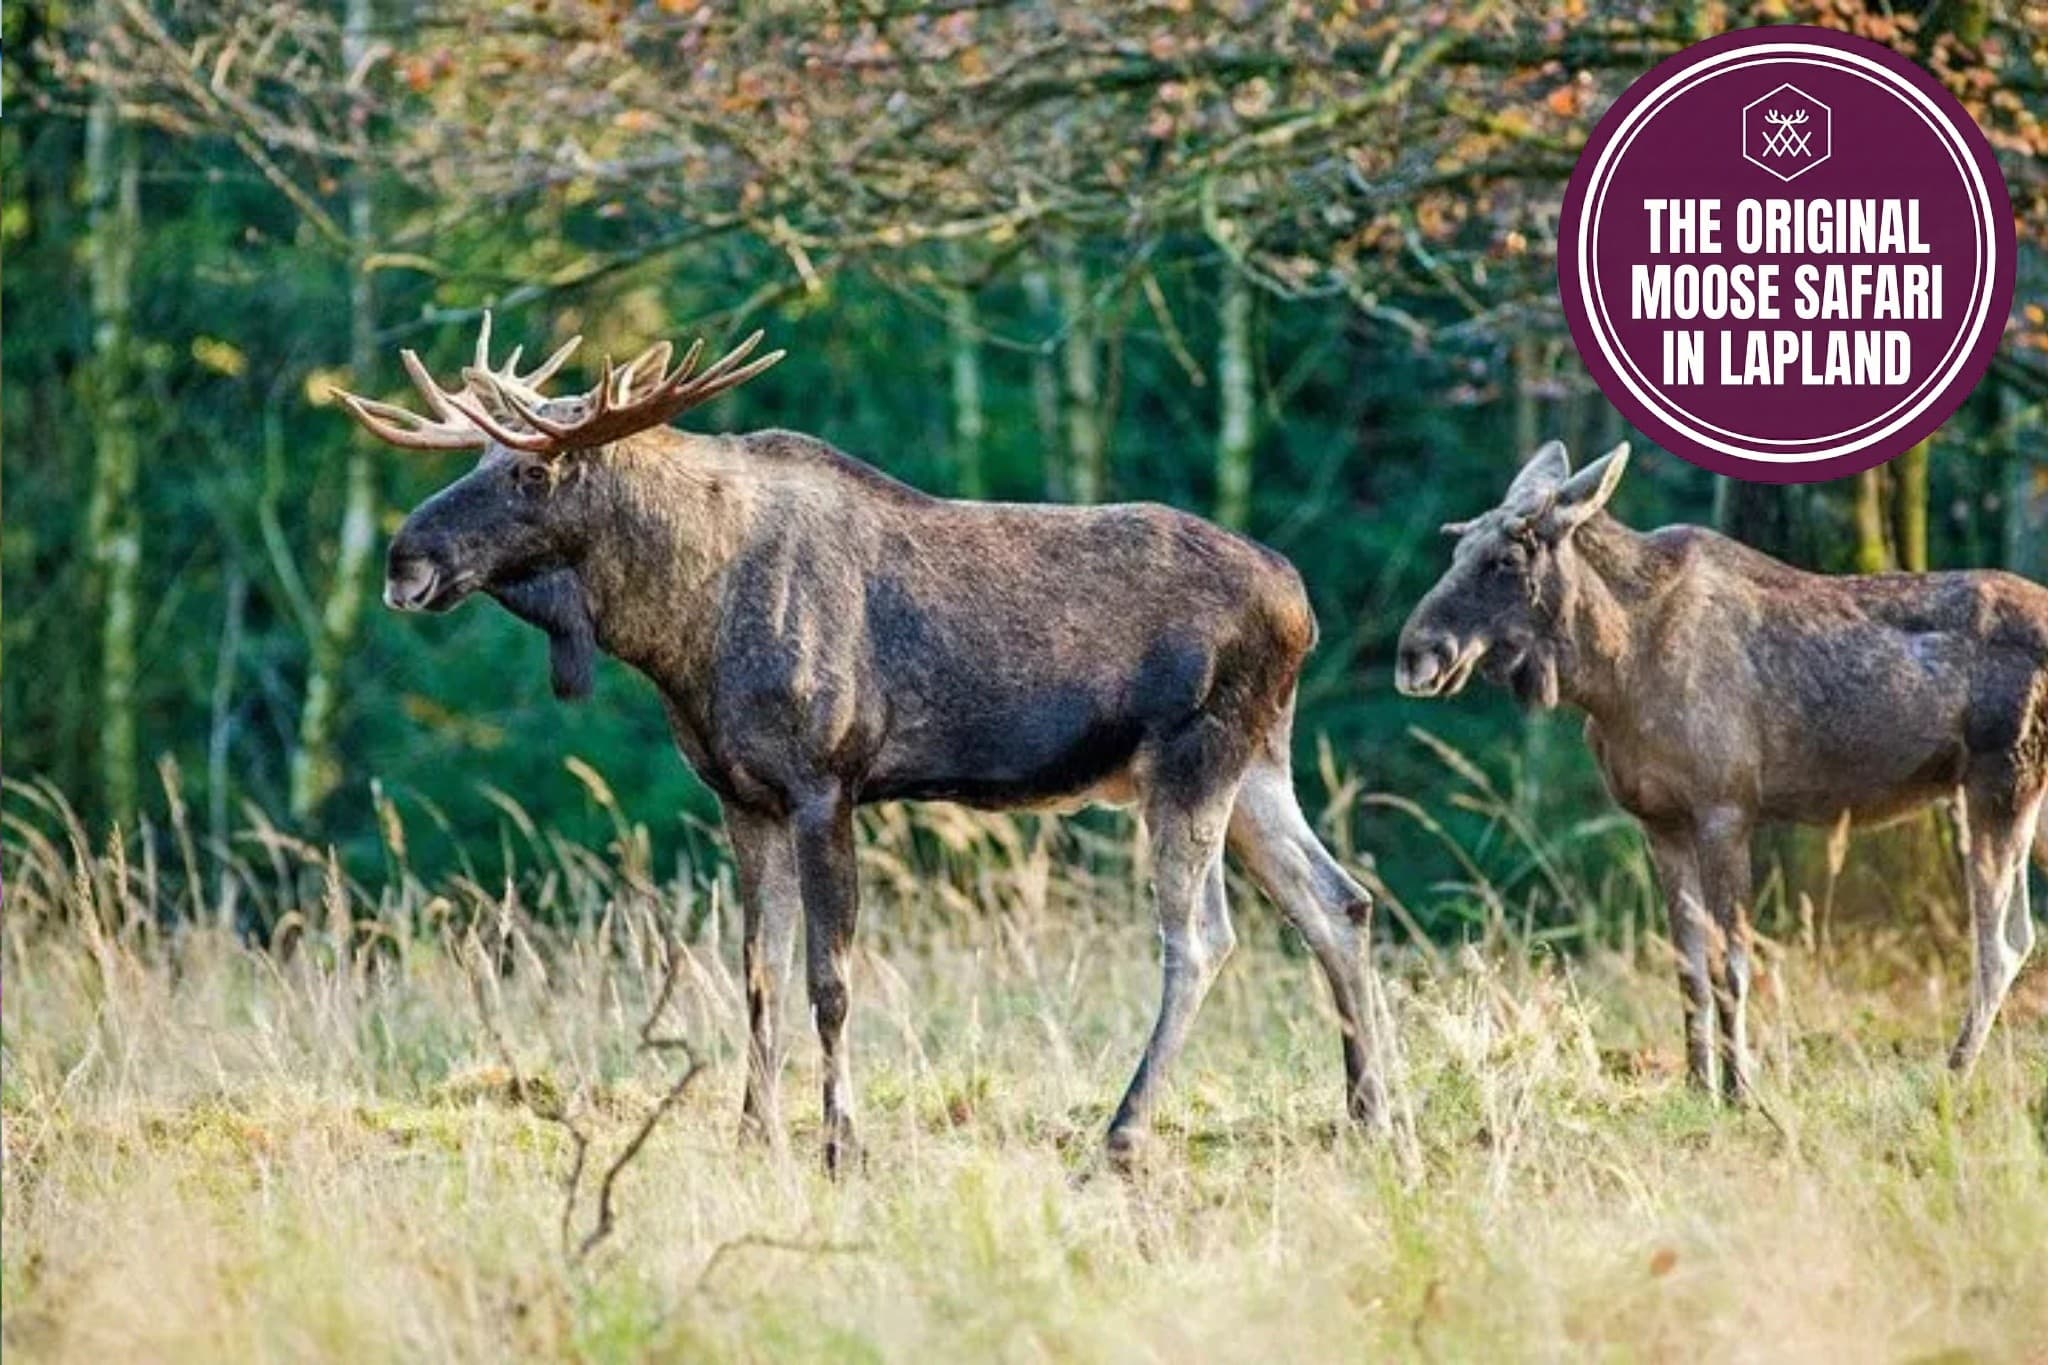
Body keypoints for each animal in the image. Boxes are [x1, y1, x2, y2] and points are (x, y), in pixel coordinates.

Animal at [334, 314, 1393, 1171]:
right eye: (471, 457)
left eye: (532, 468)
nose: (403, 559)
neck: (680, 632)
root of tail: (1302, 605)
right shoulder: (740, 794)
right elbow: (755, 973)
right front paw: (753, 1133)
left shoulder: (823, 781)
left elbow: (827, 979)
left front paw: (842, 1143)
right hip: (1256, 763)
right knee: (1339, 900)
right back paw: (1371, 1115)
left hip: (1190, 759)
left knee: (1203, 935)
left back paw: (1126, 1132)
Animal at [1395, 440, 2048, 1101]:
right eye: (1457, 548)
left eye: (1504, 559)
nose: (1415, 653)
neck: (1611, 671)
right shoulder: (1659, 820)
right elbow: (1686, 966)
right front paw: (1697, 1084)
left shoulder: (1725, 808)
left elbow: (1729, 962)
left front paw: (1740, 1089)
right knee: (2018, 934)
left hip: (2002, 781)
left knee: (2002, 942)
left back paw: (1954, 1072)